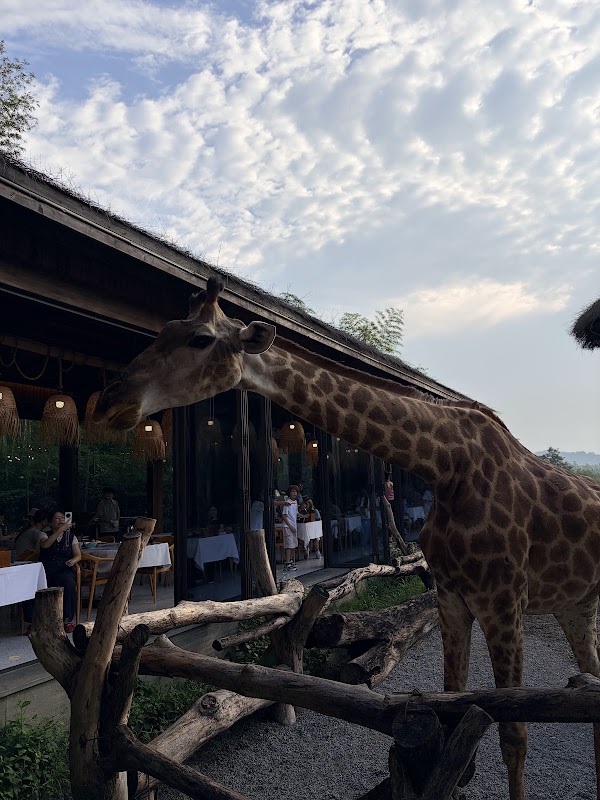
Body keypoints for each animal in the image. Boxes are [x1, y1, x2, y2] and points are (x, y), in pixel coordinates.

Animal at [96, 278, 600, 800]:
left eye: (200, 339)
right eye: (164, 329)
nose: (109, 401)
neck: (446, 467)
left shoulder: (503, 601)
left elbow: (514, 733)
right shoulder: (452, 598)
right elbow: (452, 704)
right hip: (576, 604)